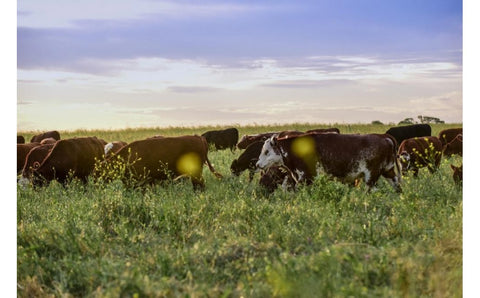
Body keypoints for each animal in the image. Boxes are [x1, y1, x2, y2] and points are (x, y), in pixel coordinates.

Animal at [255, 133, 402, 193]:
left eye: (267, 151)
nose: (257, 164)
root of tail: (383, 137)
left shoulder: (306, 177)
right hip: (388, 171)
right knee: (397, 187)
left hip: (371, 176)